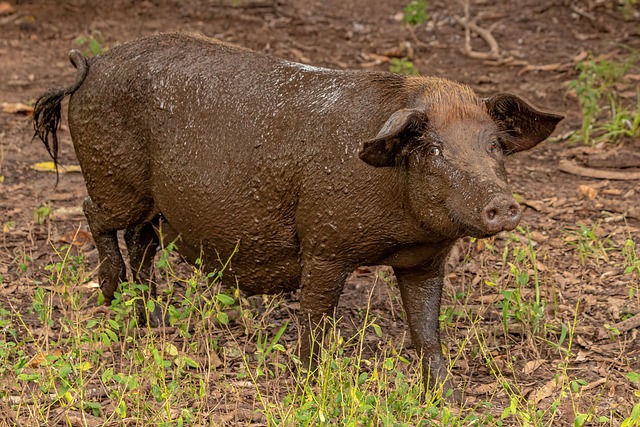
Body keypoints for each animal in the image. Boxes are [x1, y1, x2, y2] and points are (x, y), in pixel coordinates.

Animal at [32, 31, 564, 396]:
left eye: (494, 145)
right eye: (433, 150)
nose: (503, 204)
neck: (400, 228)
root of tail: (91, 65)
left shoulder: (425, 260)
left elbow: (426, 331)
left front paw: (447, 398)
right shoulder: (325, 245)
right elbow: (316, 320)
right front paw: (310, 385)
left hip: (155, 207)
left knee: (141, 241)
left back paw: (150, 320)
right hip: (115, 182)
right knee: (94, 213)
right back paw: (110, 292)